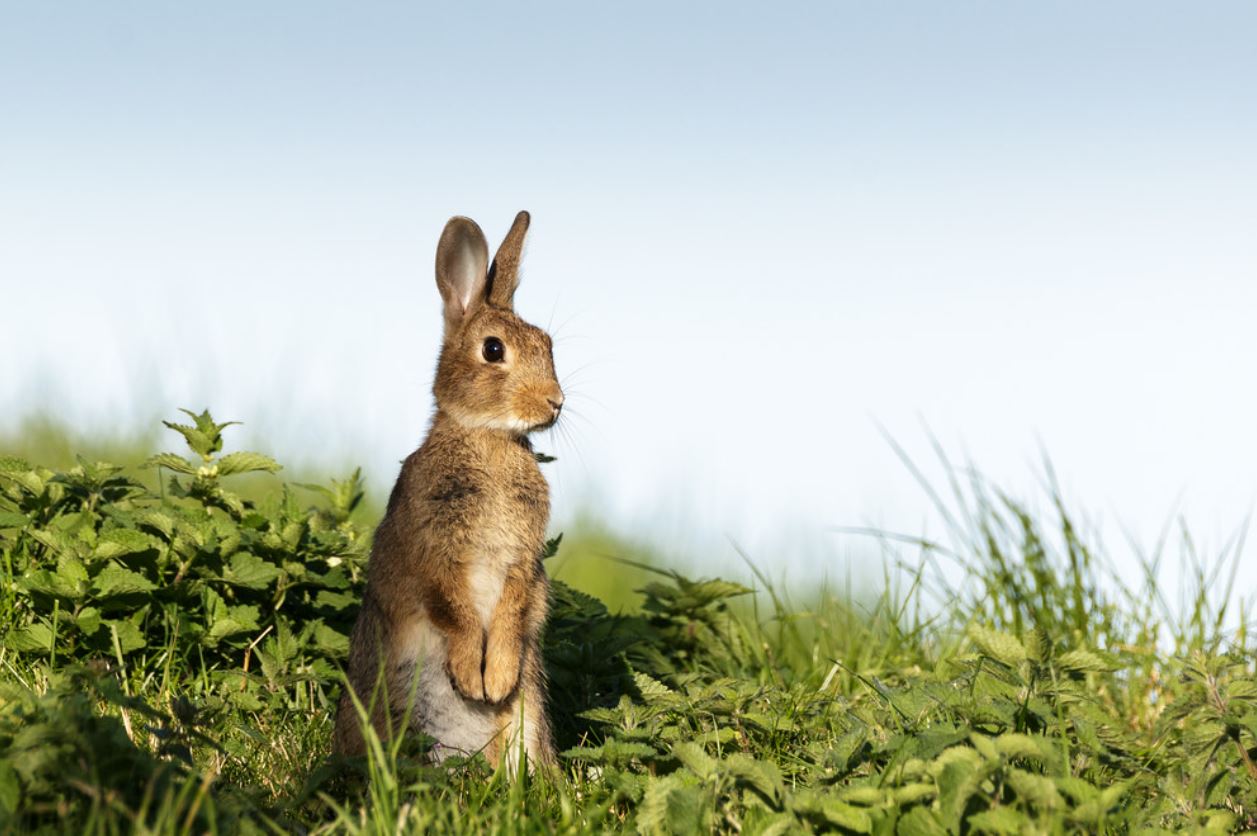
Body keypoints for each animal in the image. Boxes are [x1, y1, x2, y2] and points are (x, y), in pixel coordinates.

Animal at [332, 210, 562, 772]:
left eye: (548, 344)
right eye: (493, 349)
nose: (555, 402)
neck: (487, 437)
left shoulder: (522, 561)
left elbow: (512, 609)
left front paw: (494, 679)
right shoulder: (434, 547)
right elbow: (454, 610)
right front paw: (470, 676)